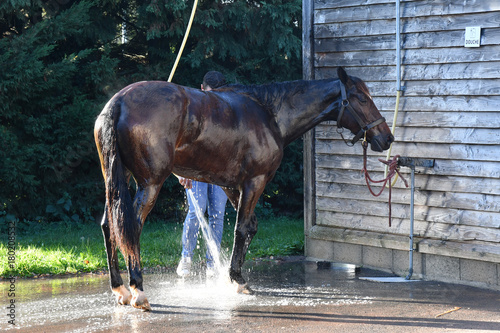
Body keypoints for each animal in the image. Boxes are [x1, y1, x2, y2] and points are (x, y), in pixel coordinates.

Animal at [94, 67, 394, 308]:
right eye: (362, 98)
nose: (387, 138)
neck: (270, 113)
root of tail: (118, 103)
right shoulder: (254, 182)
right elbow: (243, 228)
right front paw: (236, 279)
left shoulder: (231, 186)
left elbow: (249, 227)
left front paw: (235, 276)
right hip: (150, 184)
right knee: (131, 227)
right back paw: (138, 290)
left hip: (118, 182)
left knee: (109, 226)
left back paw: (119, 288)